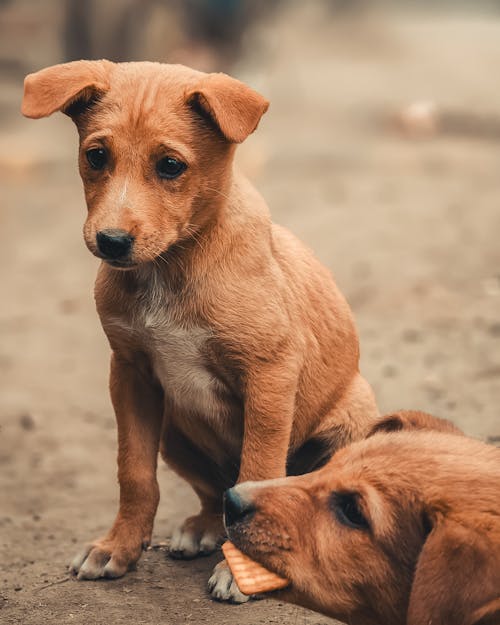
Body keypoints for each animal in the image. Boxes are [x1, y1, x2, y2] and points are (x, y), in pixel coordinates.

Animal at [21, 59, 376, 600]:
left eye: (171, 166)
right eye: (96, 156)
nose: (111, 241)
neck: (171, 266)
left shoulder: (270, 374)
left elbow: (258, 470)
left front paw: (242, 571)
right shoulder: (130, 373)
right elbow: (134, 474)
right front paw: (118, 547)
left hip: (352, 426)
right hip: (173, 429)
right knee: (215, 493)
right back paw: (203, 527)